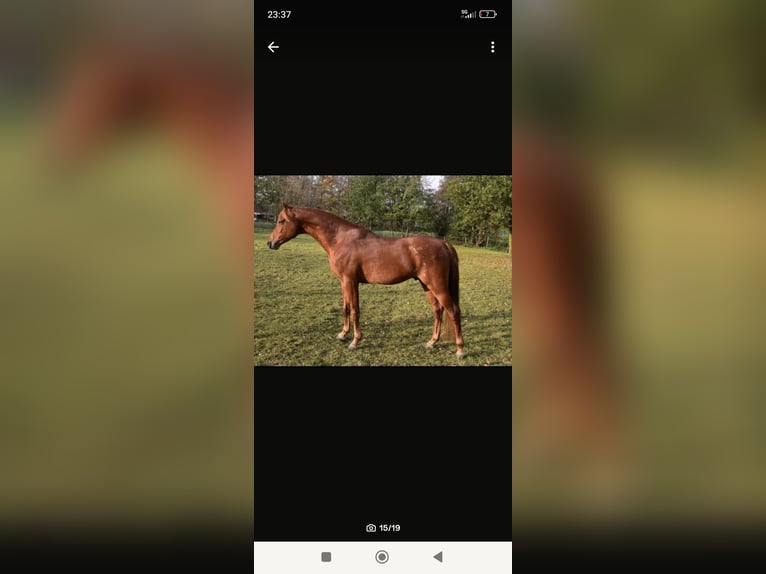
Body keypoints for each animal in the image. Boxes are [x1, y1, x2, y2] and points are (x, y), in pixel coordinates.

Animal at [266, 203, 465, 357]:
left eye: (281, 221)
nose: (270, 243)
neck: (340, 239)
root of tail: (443, 243)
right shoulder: (343, 282)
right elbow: (345, 308)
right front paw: (343, 334)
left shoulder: (351, 282)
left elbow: (355, 310)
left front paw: (355, 341)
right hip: (426, 286)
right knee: (438, 311)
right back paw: (431, 342)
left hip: (437, 286)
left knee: (453, 311)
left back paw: (460, 350)